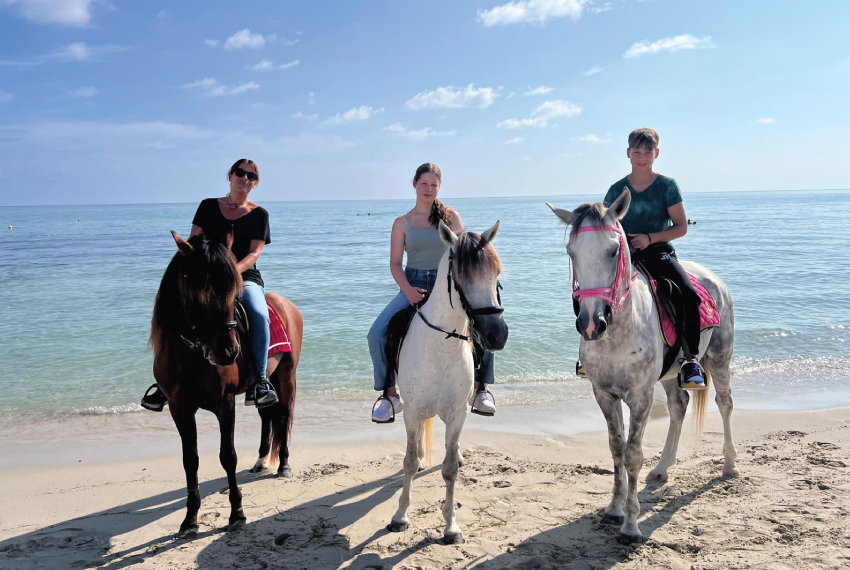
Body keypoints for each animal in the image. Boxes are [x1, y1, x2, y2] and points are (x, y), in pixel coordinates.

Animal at [150, 230, 302, 537]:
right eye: (196, 292)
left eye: (233, 292)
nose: (228, 353)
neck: (191, 356)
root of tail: (287, 305)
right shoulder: (179, 408)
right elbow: (190, 460)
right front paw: (190, 520)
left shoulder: (224, 403)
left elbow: (227, 456)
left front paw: (237, 514)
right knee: (268, 415)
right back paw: (261, 461)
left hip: (286, 376)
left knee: (283, 416)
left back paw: (284, 465)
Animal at [386, 221, 509, 545]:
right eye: (461, 278)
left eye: (496, 275)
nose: (497, 335)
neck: (440, 347)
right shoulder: (413, 412)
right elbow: (409, 461)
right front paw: (400, 516)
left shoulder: (457, 414)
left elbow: (450, 468)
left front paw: (451, 526)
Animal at [547, 190, 738, 544]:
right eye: (571, 251)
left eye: (613, 250)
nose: (591, 323)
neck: (619, 330)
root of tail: (712, 277)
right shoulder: (604, 394)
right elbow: (616, 447)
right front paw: (614, 508)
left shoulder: (640, 396)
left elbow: (633, 452)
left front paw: (631, 524)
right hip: (670, 375)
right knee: (678, 406)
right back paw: (662, 469)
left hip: (720, 357)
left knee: (725, 403)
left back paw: (730, 465)